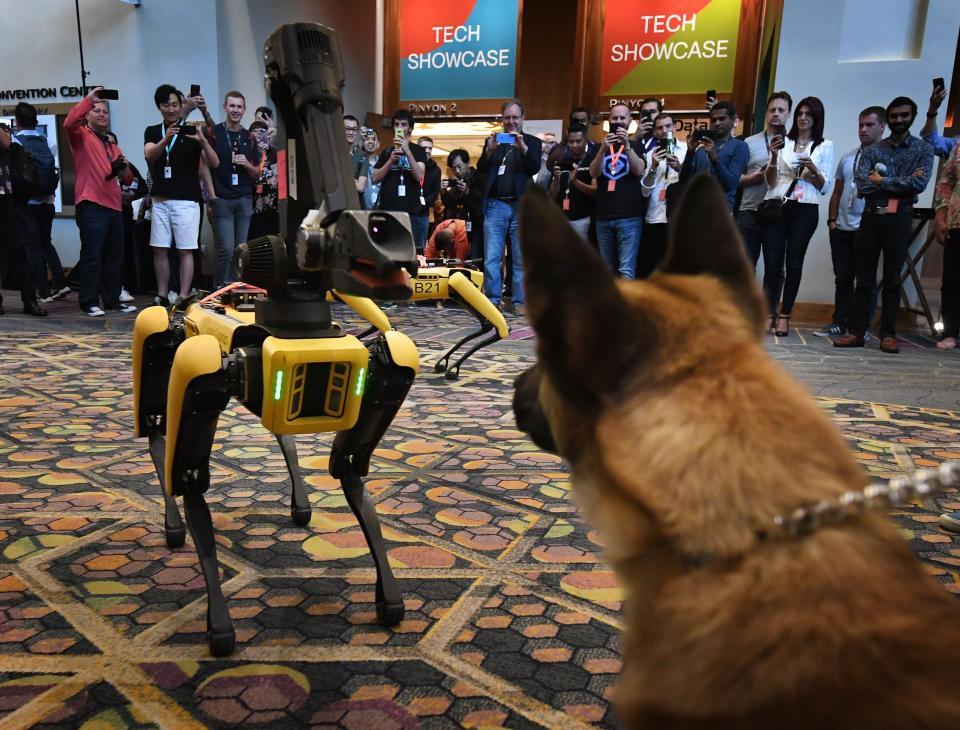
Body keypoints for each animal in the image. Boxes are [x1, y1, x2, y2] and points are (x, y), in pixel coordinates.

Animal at [133, 25, 418, 656]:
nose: (383, 236)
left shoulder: (380, 368)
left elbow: (351, 466)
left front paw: (388, 590)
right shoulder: (211, 368)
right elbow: (190, 477)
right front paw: (218, 618)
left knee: (285, 437)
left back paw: (299, 499)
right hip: (174, 331)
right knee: (158, 407)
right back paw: (170, 518)